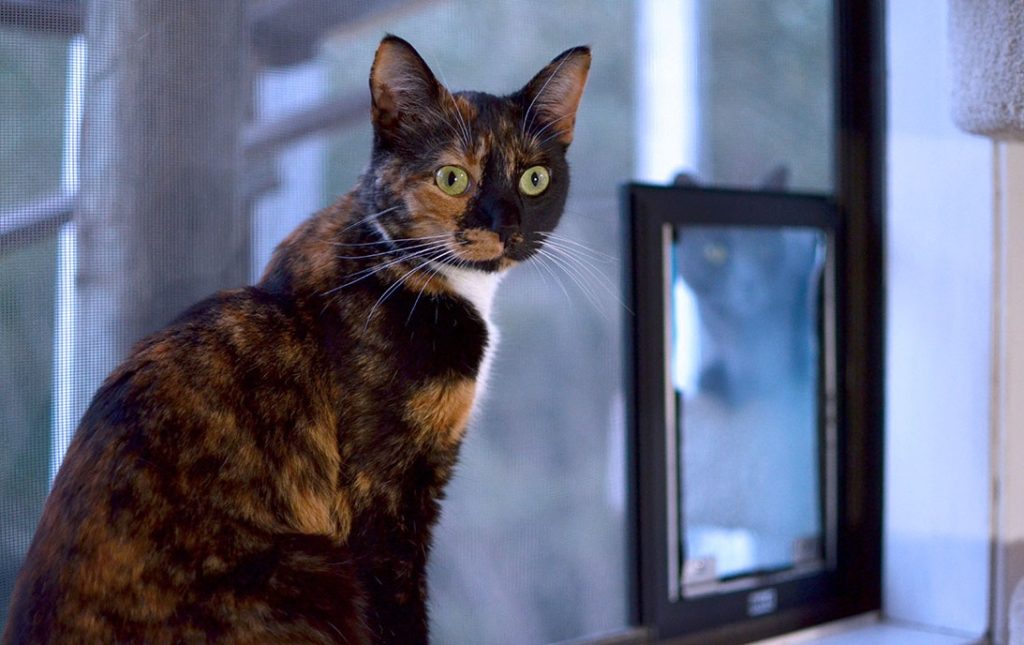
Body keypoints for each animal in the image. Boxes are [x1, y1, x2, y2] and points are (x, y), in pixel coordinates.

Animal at [4, 37, 593, 642]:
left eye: (535, 179)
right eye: (451, 178)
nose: (507, 226)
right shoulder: (381, 496)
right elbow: (398, 609)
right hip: (315, 570)